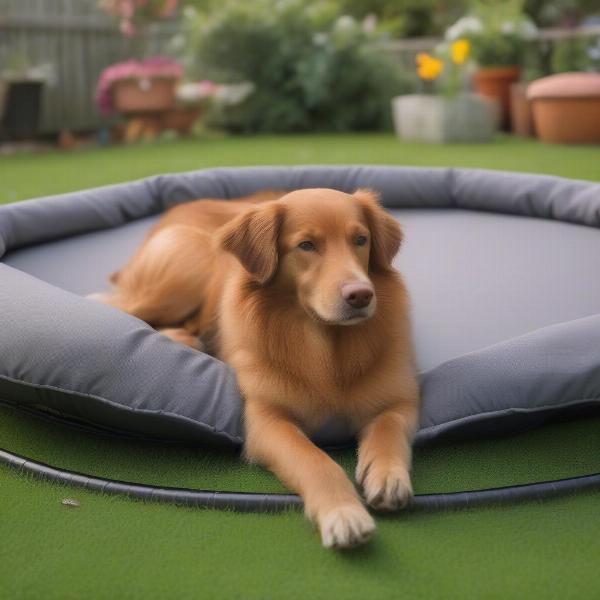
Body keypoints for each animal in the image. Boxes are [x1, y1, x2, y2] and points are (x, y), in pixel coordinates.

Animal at [95, 188, 422, 548]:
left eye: (361, 240)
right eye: (306, 245)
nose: (361, 295)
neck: (325, 345)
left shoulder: (400, 400)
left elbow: (388, 430)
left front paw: (388, 475)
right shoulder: (265, 421)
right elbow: (314, 460)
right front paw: (343, 512)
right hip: (186, 267)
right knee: (111, 304)